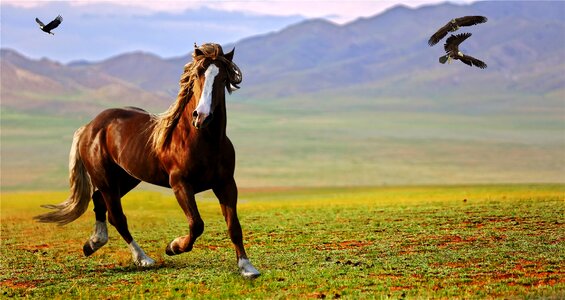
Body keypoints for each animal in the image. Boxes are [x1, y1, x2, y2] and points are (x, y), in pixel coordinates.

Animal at [36, 42, 262, 278]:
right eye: (197, 74)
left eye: (222, 77)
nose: (201, 116)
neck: (202, 140)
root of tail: (90, 126)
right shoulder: (181, 185)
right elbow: (196, 224)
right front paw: (173, 247)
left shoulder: (226, 183)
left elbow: (233, 226)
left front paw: (247, 267)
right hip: (107, 180)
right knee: (117, 217)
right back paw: (143, 258)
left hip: (126, 179)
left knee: (99, 201)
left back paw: (93, 243)